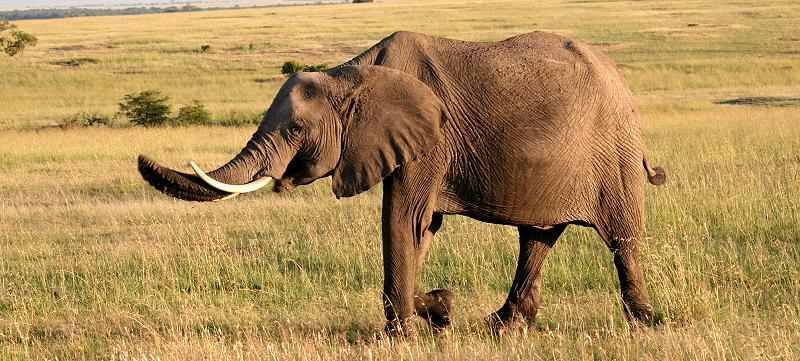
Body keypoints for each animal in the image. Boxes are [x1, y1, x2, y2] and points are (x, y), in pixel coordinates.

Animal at [138, 30, 664, 334]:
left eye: (295, 129)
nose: (141, 159)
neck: (351, 73)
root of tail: (621, 80)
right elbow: (420, 229)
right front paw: (440, 309)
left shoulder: (430, 138)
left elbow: (401, 219)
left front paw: (404, 333)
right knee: (537, 238)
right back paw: (503, 326)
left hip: (612, 149)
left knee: (620, 238)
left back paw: (644, 323)